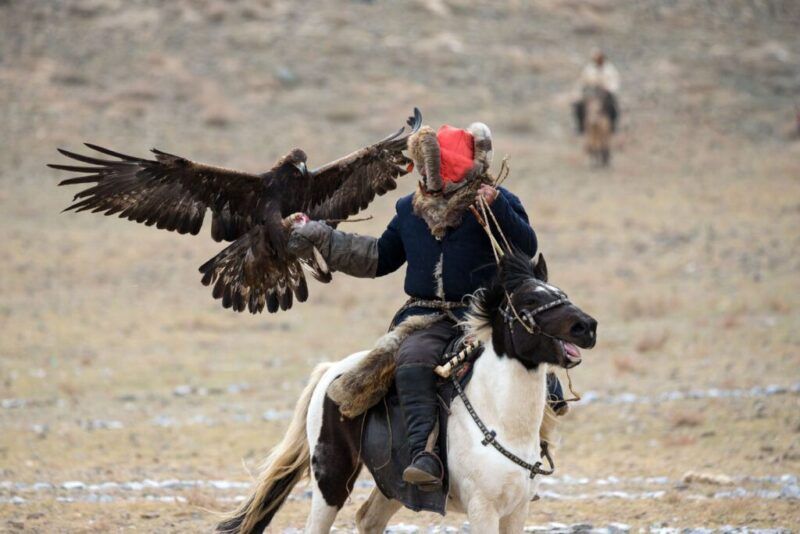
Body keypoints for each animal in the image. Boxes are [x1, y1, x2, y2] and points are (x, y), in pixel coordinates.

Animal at [217, 251, 598, 534]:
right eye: (530, 299)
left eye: (560, 292)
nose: (588, 326)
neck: (502, 421)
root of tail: (333, 369)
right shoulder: (483, 509)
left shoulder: (516, 511)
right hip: (331, 478)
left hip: (392, 485)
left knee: (368, 518)